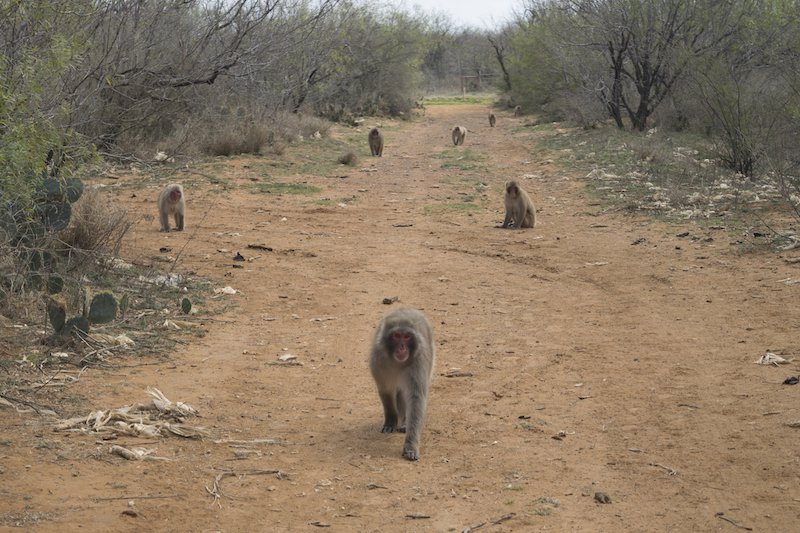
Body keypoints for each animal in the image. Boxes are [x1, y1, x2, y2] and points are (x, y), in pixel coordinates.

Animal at [369, 307, 435, 461]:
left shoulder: (418, 361)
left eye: (406, 337)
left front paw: (411, 445)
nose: (402, 348)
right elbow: (386, 391)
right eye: (396, 336)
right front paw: (391, 421)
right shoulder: (379, 360)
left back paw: (405, 422)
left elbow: (416, 397)